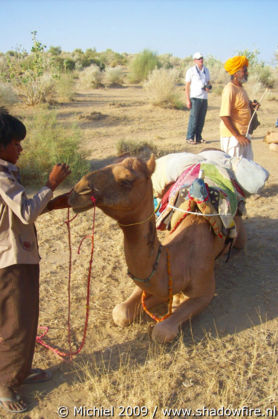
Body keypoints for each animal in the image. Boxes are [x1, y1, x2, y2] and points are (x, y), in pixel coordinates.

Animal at [69, 156, 245, 342]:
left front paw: (175, 305)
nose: (77, 191)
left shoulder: (205, 292)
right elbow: (121, 312)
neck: (179, 259)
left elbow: (162, 331)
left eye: (126, 180)